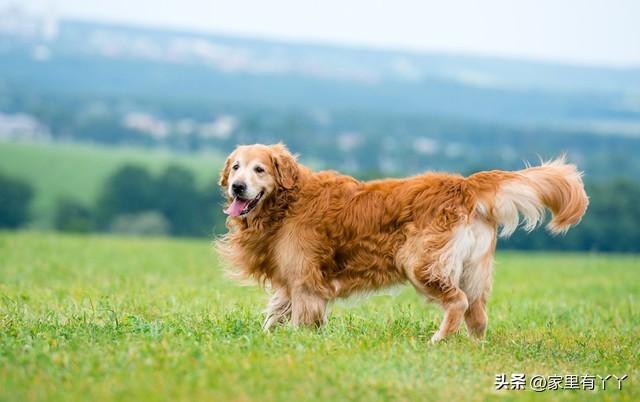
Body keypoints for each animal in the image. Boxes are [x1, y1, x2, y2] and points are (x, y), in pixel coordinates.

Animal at [216, 143, 592, 340]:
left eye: (260, 169)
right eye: (236, 167)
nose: (237, 187)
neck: (288, 202)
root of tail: (464, 185)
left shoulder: (305, 280)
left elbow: (298, 317)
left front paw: (297, 341)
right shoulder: (292, 280)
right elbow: (275, 314)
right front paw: (265, 338)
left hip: (421, 264)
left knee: (458, 303)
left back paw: (439, 340)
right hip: (474, 271)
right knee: (478, 315)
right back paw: (472, 347)